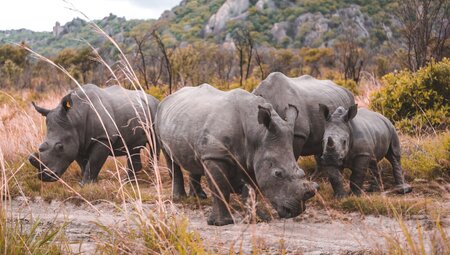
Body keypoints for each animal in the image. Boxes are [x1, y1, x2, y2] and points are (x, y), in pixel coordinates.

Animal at [27, 84, 158, 184]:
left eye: (60, 147)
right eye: (41, 147)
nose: (45, 177)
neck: (74, 117)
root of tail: (152, 97)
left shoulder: (103, 138)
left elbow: (93, 162)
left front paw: (85, 184)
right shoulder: (77, 141)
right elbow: (84, 164)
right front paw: (90, 183)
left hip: (154, 109)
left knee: (154, 145)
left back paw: (152, 173)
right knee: (132, 148)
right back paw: (128, 182)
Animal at [156, 84, 318, 226]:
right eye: (278, 174)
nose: (296, 211)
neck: (257, 132)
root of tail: (168, 97)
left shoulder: (252, 158)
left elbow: (252, 190)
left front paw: (257, 219)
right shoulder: (216, 155)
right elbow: (220, 188)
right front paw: (221, 223)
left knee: (194, 158)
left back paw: (199, 198)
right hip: (160, 119)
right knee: (170, 158)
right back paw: (178, 198)